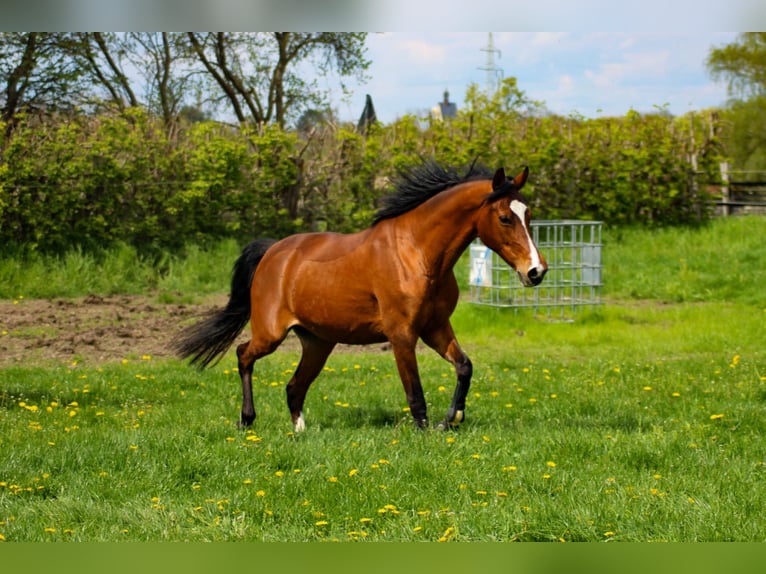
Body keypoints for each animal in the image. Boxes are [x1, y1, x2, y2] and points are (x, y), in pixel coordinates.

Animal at [176, 161, 544, 432]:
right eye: (505, 217)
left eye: (528, 215)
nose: (536, 271)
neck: (418, 254)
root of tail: (272, 251)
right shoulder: (402, 334)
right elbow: (415, 393)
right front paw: (427, 430)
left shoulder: (436, 327)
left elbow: (464, 366)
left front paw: (451, 419)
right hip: (270, 334)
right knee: (243, 355)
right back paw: (246, 420)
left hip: (318, 342)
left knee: (294, 386)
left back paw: (300, 430)